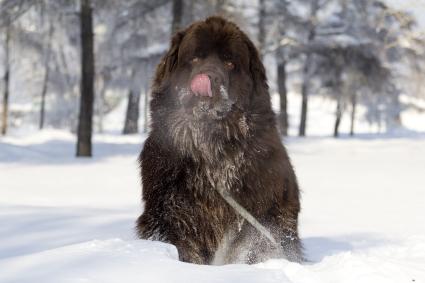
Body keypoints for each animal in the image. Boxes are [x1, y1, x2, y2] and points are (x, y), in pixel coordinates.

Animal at [136, 16, 302, 266]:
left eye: (230, 63)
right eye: (195, 58)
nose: (210, 78)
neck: (212, 149)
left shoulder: (261, 215)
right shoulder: (170, 213)